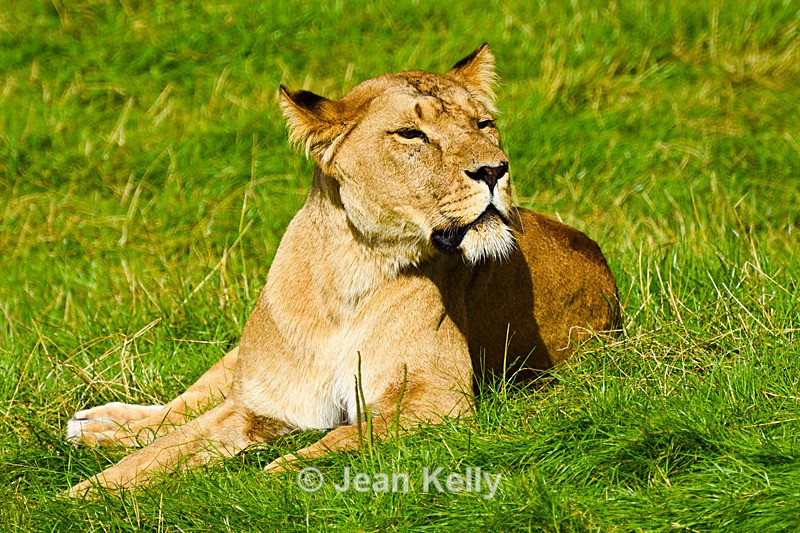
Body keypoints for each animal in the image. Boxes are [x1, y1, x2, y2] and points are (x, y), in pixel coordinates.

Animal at [67, 44, 619, 497]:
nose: (494, 170)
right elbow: (162, 451)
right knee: (183, 406)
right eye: (412, 134)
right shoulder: (263, 401)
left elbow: (342, 437)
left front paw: (269, 473)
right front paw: (80, 499)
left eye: (484, 124)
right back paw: (97, 427)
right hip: (243, 358)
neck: (350, 276)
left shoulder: (439, 399)